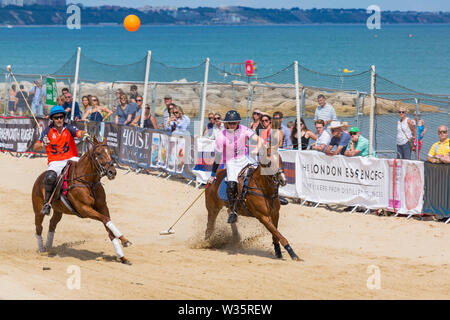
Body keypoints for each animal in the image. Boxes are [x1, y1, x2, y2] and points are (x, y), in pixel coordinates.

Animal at [31, 136, 132, 264]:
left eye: (110, 152)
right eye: (98, 153)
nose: (112, 172)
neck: (88, 182)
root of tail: (39, 178)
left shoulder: (103, 206)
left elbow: (108, 226)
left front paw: (123, 253)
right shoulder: (84, 209)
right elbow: (105, 220)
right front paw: (124, 243)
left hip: (59, 210)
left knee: (52, 224)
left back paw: (49, 247)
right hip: (38, 209)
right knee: (39, 227)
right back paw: (42, 249)